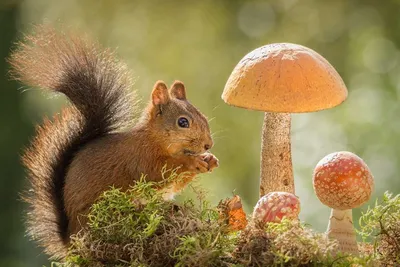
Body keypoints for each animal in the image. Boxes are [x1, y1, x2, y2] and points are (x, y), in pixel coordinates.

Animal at [8, 26, 219, 260]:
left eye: (202, 116)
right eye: (183, 122)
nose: (208, 145)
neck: (155, 140)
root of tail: (71, 240)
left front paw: (210, 160)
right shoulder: (140, 158)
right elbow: (160, 173)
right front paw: (193, 162)